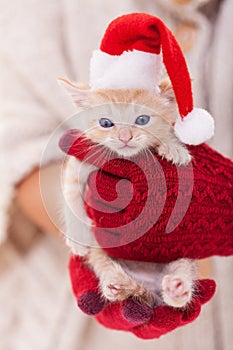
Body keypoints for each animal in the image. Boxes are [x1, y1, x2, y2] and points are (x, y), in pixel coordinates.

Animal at [59, 78, 198, 308]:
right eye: (106, 123)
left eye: (142, 120)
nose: (125, 137)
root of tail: (148, 283)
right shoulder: (83, 160)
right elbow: (70, 192)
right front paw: (77, 236)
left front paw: (173, 146)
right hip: (100, 251)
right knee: (104, 267)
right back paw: (115, 283)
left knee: (181, 277)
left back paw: (177, 288)